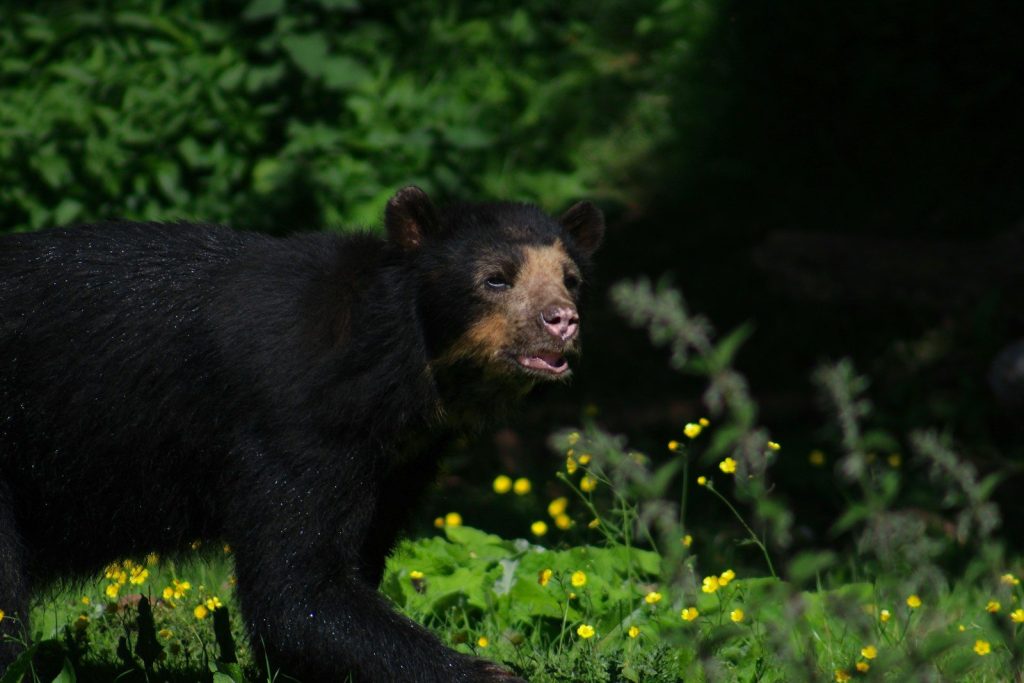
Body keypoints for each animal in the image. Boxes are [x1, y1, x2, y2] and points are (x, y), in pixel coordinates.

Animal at [0, 186, 603, 682]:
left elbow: (343, 565)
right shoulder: (295, 420)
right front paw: (487, 672)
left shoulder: (399, 460)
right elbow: (296, 587)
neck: (399, 368)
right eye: (496, 277)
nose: (562, 321)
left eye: (571, 280)